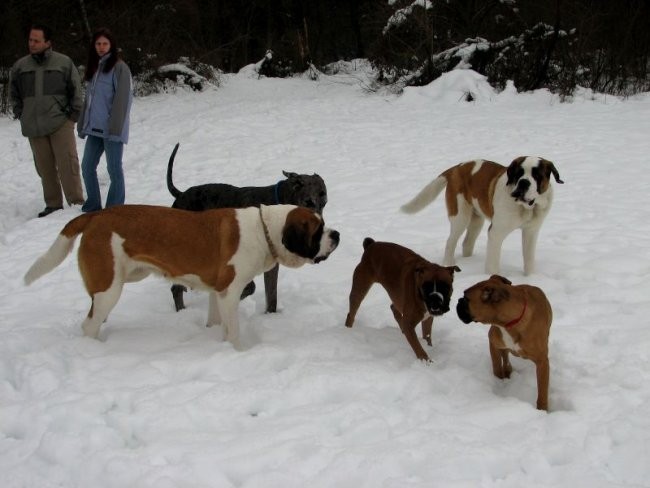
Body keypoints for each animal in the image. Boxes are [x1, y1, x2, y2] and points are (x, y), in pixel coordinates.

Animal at [165, 142, 326, 312]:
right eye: (308, 202)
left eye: (324, 203)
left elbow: (271, 295)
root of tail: (181, 194)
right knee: (176, 288)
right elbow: (249, 286)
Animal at [456, 276, 552, 410]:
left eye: (466, 299)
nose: (458, 301)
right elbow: (496, 366)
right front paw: (498, 381)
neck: (511, 323)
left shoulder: (542, 362)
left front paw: (542, 409)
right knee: (506, 358)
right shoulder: (494, 344)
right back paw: (507, 371)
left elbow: (542, 389)